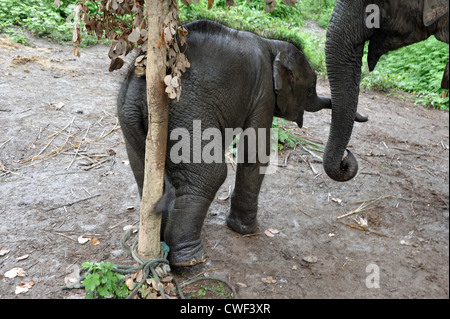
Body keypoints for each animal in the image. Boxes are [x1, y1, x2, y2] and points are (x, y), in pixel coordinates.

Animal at [118, 20, 332, 268]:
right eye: (311, 88)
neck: (272, 44)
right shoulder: (264, 93)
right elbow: (255, 152)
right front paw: (246, 230)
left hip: (130, 118)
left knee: (147, 176)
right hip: (187, 114)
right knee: (210, 174)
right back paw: (191, 261)